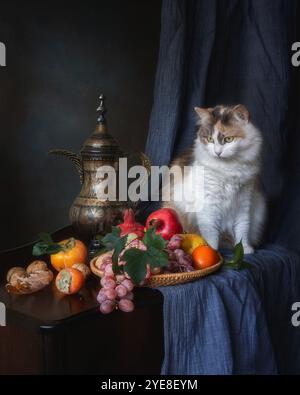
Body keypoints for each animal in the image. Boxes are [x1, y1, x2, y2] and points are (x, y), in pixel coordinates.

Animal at [163, 104, 266, 254]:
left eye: (229, 139)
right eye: (210, 139)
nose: (217, 152)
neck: (229, 168)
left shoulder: (243, 203)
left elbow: (242, 228)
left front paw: (244, 248)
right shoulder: (209, 204)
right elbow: (210, 230)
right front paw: (211, 249)